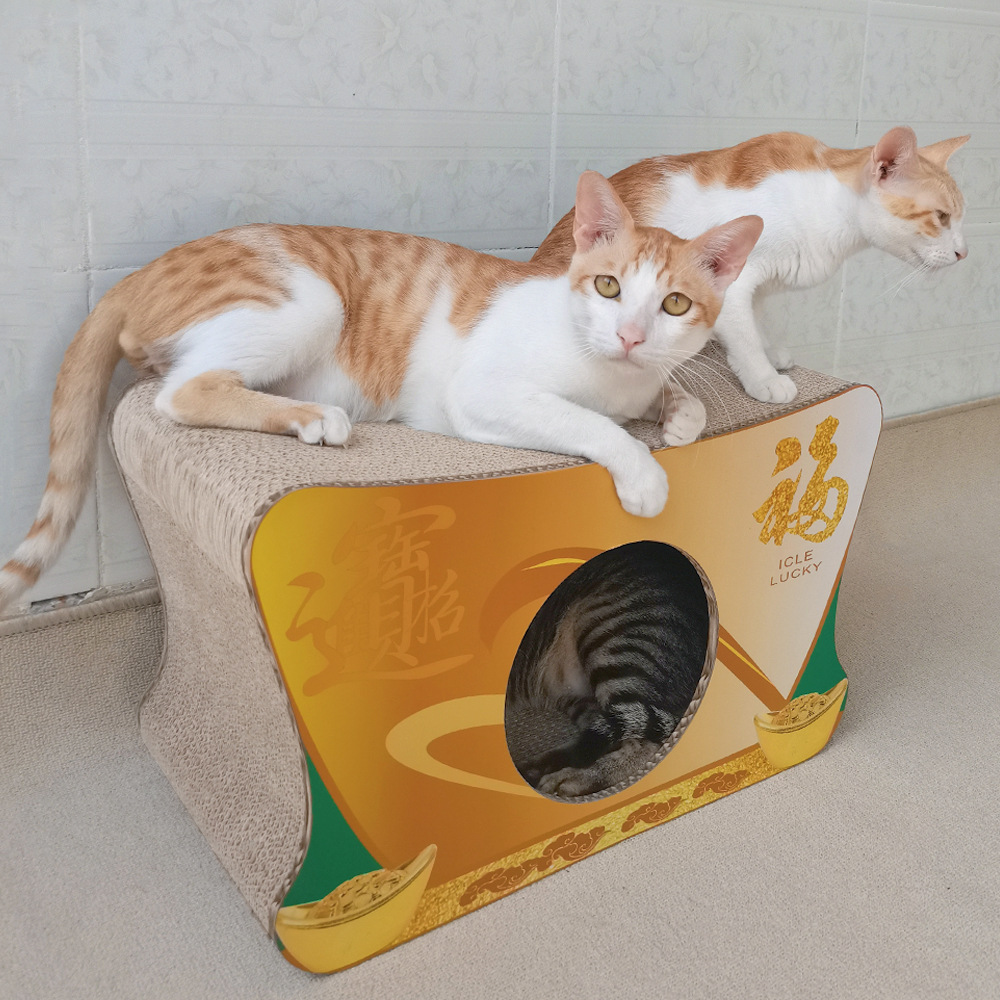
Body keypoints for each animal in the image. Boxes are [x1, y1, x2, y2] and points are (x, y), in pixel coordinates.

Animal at [0, 171, 762, 614]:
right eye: (607, 286)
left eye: (673, 305)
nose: (630, 335)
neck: (611, 375)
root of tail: (136, 275)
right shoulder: (485, 393)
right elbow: (592, 424)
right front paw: (643, 471)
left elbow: (676, 397)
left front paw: (678, 417)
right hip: (309, 300)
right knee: (181, 392)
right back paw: (314, 417)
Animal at [535, 127, 969, 404]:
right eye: (942, 217)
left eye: (960, 218)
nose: (964, 253)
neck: (826, 206)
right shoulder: (735, 283)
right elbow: (742, 334)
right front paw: (763, 377)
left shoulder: (758, 285)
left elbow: (756, 321)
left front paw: (768, 351)